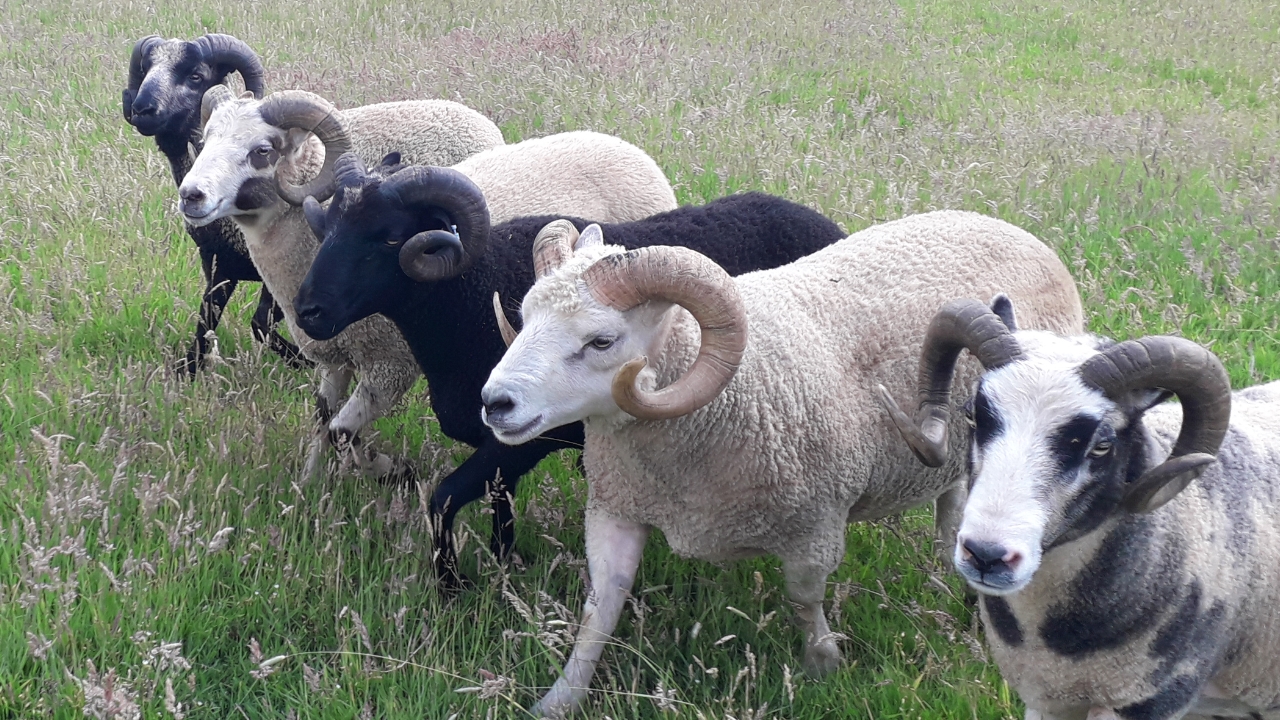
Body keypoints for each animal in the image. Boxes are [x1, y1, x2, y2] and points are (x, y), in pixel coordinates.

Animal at [122, 33, 307, 376]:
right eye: (146, 69)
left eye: (196, 75)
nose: (142, 109)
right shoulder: (217, 264)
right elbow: (205, 325)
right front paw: (186, 372)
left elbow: (261, 324)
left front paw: (307, 364)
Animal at [178, 86, 504, 480]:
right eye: (205, 139)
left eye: (262, 150)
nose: (190, 195)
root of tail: (473, 117)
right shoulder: (334, 356)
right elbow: (324, 418)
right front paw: (308, 484)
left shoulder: (390, 364)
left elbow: (342, 430)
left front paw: (389, 470)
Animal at [292, 155, 847, 589]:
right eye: (326, 228)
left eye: (389, 239)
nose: (307, 312)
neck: (471, 295)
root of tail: (829, 225)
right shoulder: (504, 444)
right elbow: (499, 504)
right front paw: (505, 567)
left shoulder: (528, 438)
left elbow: (444, 499)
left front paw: (453, 586)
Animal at [478, 210, 1085, 716]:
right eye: (524, 316)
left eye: (602, 341)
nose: (495, 403)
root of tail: (1009, 227)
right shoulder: (616, 505)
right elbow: (599, 610)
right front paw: (559, 699)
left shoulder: (815, 526)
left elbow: (803, 599)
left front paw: (824, 668)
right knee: (951, 493)